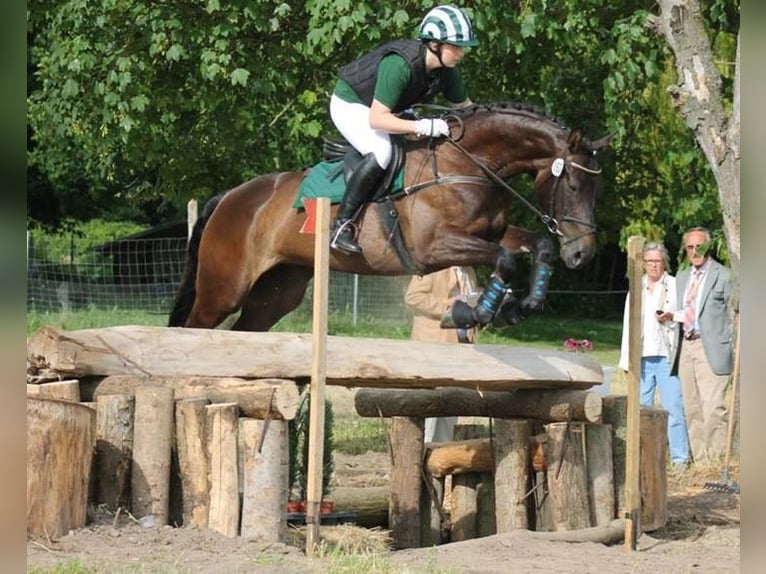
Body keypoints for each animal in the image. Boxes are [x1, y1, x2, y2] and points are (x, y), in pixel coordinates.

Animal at [168, 102, 612, 332]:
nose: (582, 255)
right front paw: (479, 312)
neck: (465, 163)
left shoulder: (491, 233)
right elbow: (504, 259)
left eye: (596, 188)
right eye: (574, 186)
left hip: (278, 291)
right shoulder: (433, 249)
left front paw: (525, 304)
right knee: (196, 326)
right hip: (223, 289)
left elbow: (537, 245)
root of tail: (229, 197)